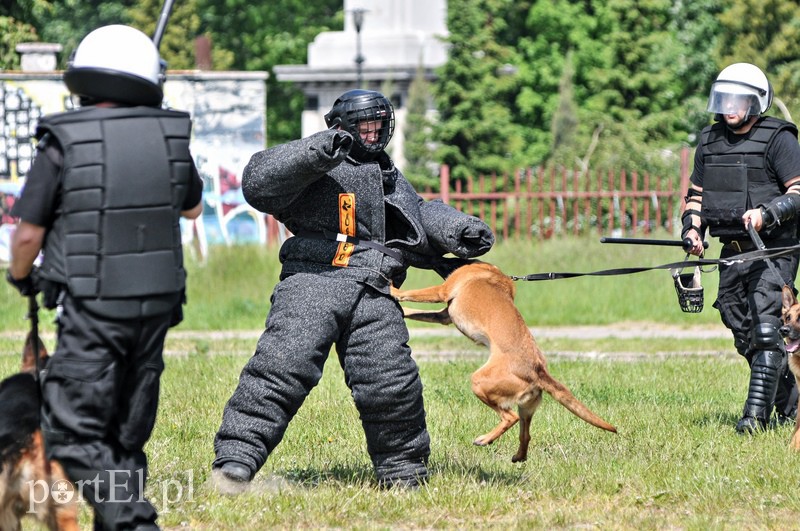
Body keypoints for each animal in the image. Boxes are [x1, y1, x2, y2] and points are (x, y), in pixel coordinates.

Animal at [390, 264, 616, 464]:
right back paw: (518, 456)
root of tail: (537, 371)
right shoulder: (444, 315)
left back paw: (484, 439)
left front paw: (393, 289)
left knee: (509, 417)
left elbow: (412, 293)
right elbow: (416, 311)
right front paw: (402, 309)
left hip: (480, 382)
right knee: (525, 434)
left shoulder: (442, 291)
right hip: (527, 408)